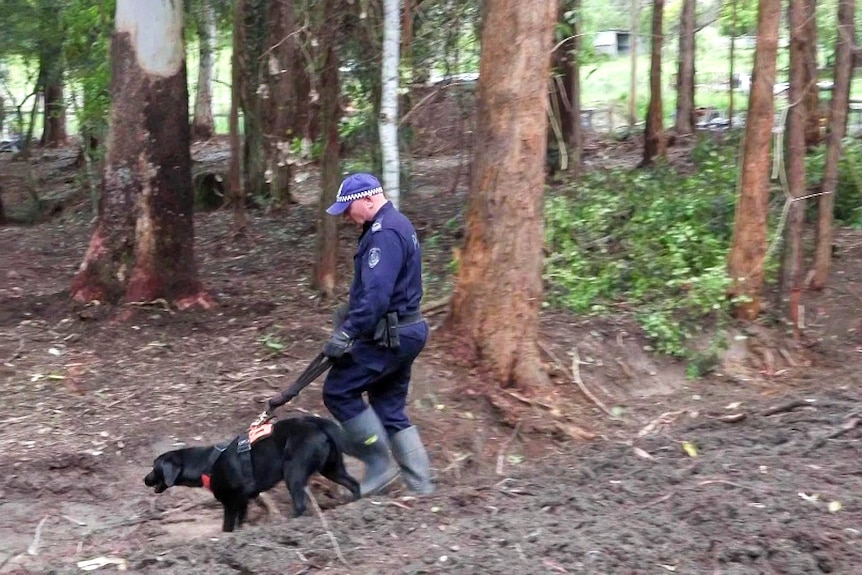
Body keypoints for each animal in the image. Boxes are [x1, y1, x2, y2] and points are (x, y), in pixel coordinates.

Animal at [143, 416, 360, 532]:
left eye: (154, 467)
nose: (145, 479)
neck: (206, 463)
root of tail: (316, 422)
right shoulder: (243, 501)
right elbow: (240, 522)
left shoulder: (230, 503)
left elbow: (227, 526)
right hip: (332, 467)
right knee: (354, 484)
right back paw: (354, 504)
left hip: (293, 471)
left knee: (299, 503)